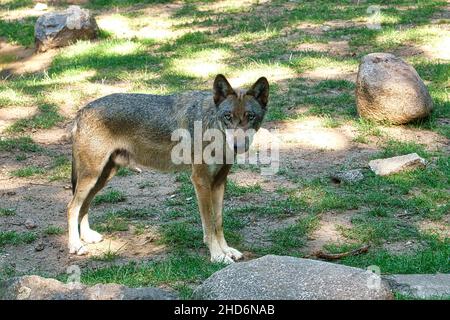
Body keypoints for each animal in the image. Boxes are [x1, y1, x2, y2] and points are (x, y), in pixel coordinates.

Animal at [68, 74, 268, 262]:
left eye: (250, 116)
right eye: (228, 117)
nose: (238, 146)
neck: (212, 129)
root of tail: (81, 111)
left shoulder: (219, 182)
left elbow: (218, 222)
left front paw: (227, 250)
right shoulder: (201, 181)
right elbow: (209, 225)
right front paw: (218, 256)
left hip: (102, 178)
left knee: (84, 205)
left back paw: (87, 237)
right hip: (92, 176)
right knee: (72, 207)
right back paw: (76, 245)